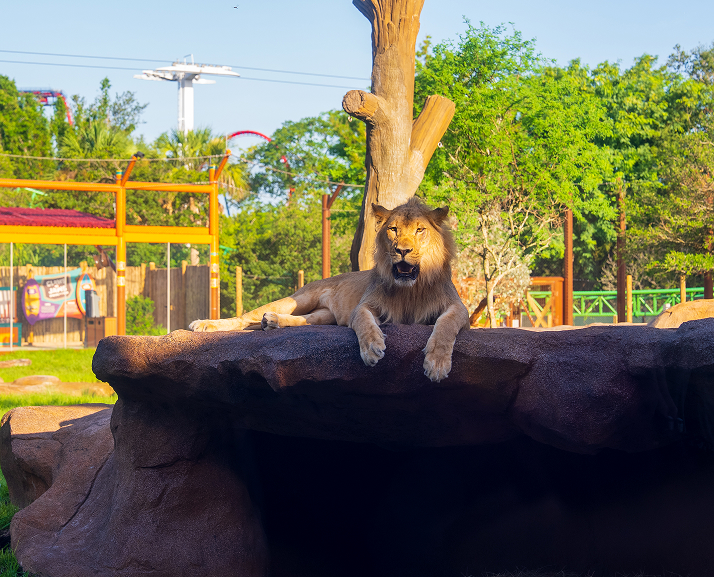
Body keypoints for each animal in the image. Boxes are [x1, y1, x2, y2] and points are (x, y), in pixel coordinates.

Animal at [190, 197, 470, 382]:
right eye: (393, 229)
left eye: (420, 230)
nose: (403, 250)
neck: (410, 289)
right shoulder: (364, 306)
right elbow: (365, 322)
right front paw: (372, 348)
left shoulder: (459, 309)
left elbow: (445, 325)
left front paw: (437, 363)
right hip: (298, 298)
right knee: (244, 318)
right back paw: (204, 324)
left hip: (323, 315)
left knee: (303, 320)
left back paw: (272, 322)